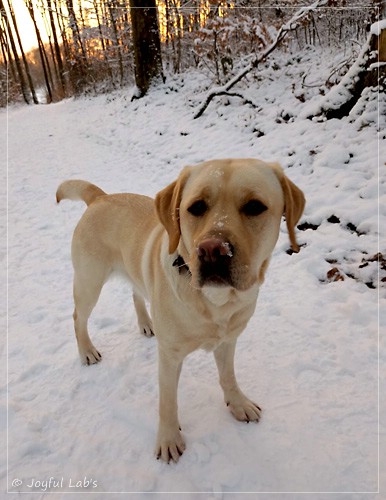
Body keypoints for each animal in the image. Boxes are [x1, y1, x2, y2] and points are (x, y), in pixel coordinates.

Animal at [56, 158, 304, 462]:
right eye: (196, 207)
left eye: (255, 206)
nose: (213, 250)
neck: (215, 302)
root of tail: (100, 197)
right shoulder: (170, 356)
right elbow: (168, 401)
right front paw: (168, 439)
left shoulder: (228, 340)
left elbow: (228, 377)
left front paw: (238, 403)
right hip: (89, 281)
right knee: (78, 317)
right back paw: (87, 351)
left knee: (136, 293)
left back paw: (146, 322)